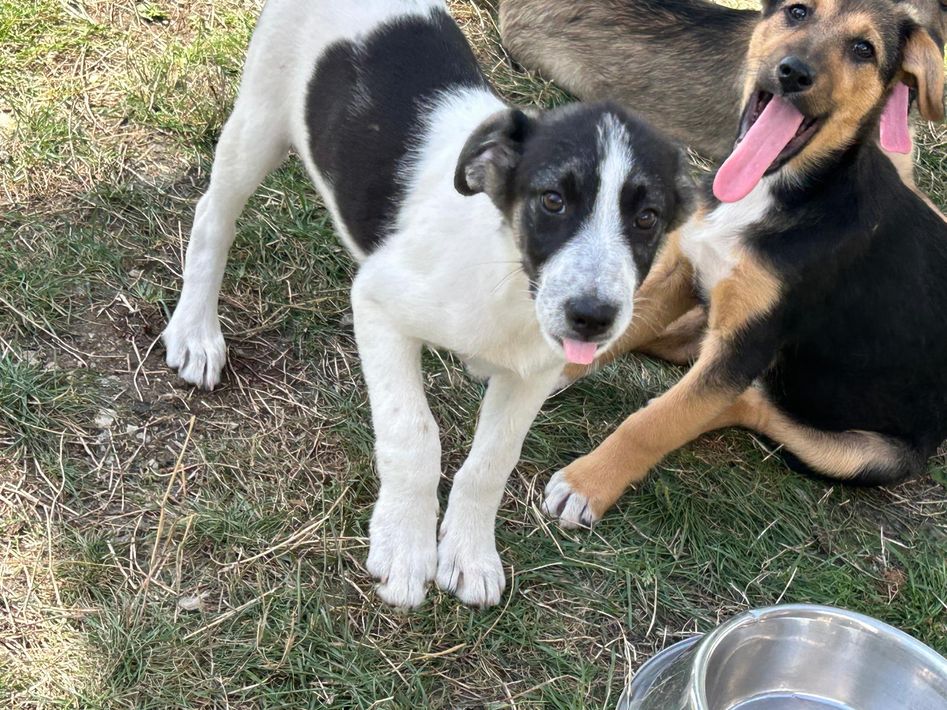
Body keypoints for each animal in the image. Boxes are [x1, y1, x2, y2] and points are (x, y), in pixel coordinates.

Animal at [161, 0, 691, 607]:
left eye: (647, 218)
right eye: (553, 200)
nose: (593, 317)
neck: (508, 280)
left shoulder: (534, 372)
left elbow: (492, 462)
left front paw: (470, 552)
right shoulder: (379, 305)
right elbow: (413, 434)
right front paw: (405, 547)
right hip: (260, 119)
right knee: (213, 214)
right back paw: (196, 331)